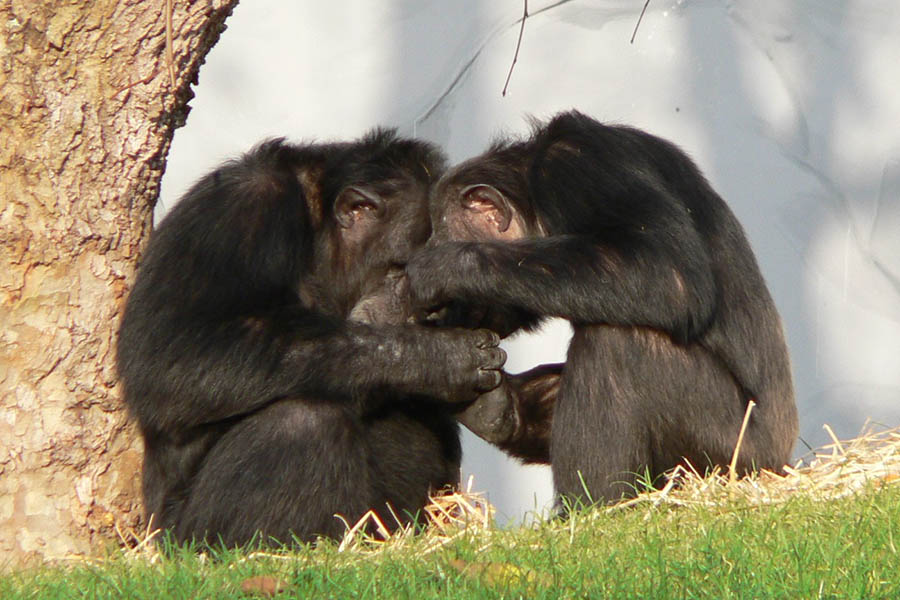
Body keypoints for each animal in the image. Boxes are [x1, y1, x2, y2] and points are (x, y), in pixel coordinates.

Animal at [116, 131, 506, 548]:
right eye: (407, 268)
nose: (430, 310)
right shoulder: (238, 207)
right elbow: (172, 349)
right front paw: (437, 357)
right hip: (183, 539)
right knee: (303, 423)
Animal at [408, 110, 796, 504]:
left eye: (440, 235)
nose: (432, 246)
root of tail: (780, 466)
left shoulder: (580, 168)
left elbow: (668, 270)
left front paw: (446, 267)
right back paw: (499, 411)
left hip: (726, 455)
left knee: (618, 343)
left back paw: (594, 507)